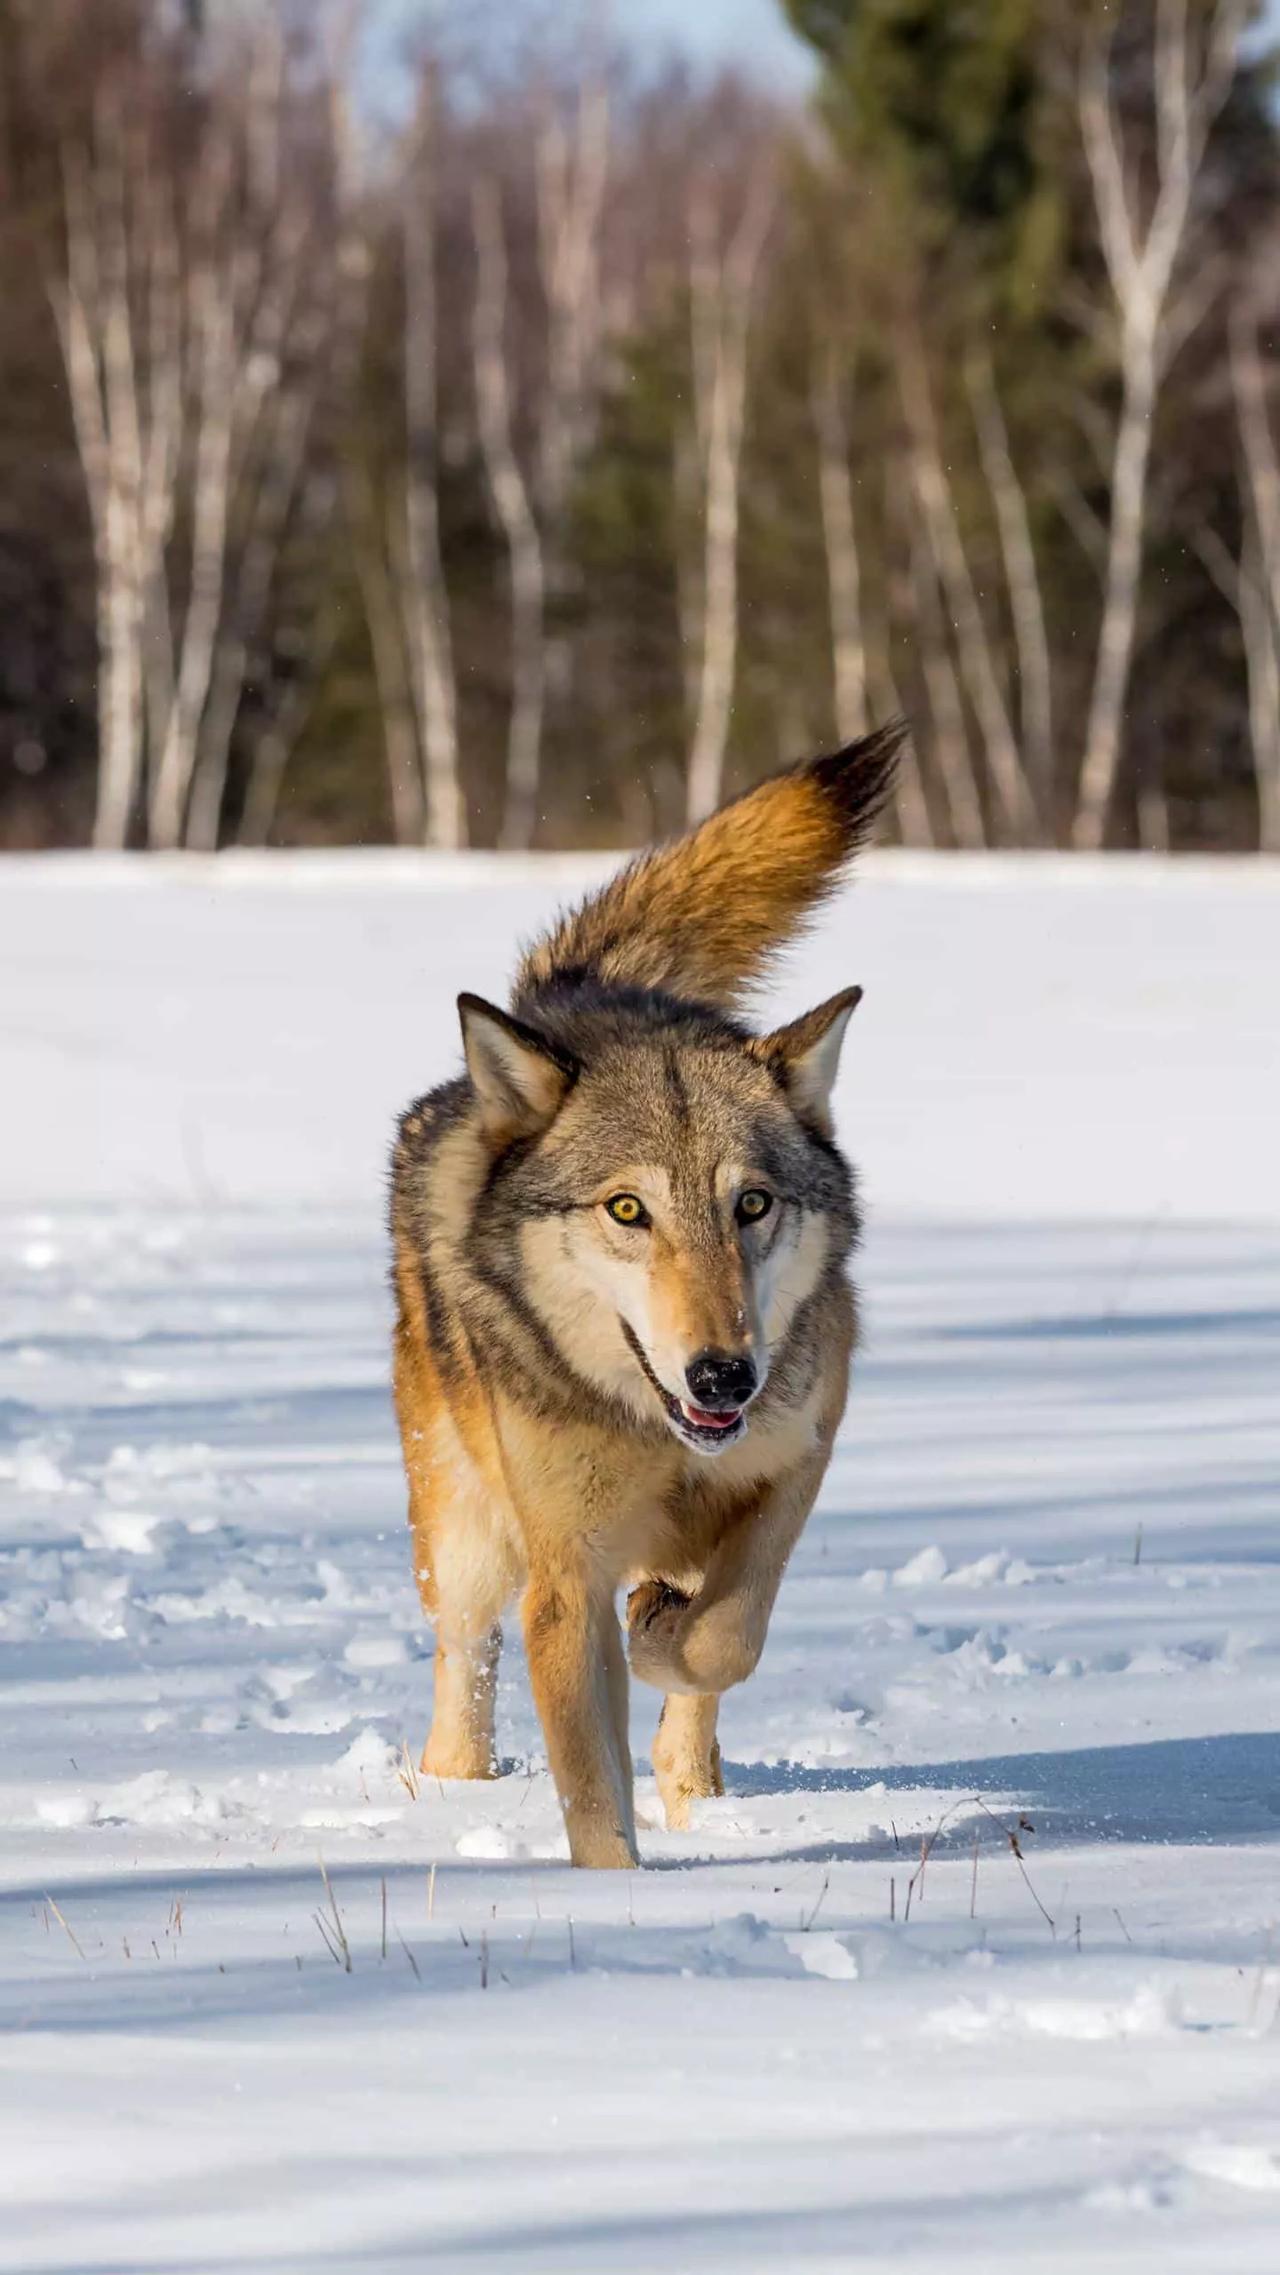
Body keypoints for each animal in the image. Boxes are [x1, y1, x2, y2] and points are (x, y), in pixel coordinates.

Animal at [391, 723, 900, 1865]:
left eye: (751, 1204)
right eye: (628, 1211)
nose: (723, 1375)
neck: (662, 1436)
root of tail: (581, 998)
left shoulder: (798, 1458)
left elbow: (727, 1636)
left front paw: (667, 1636)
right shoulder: (565, 1574)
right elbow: (590, 1787)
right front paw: (616, 1892)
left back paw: (691, 1764)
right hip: (464, 1536)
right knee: (460, 1670)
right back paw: (452, 1791)